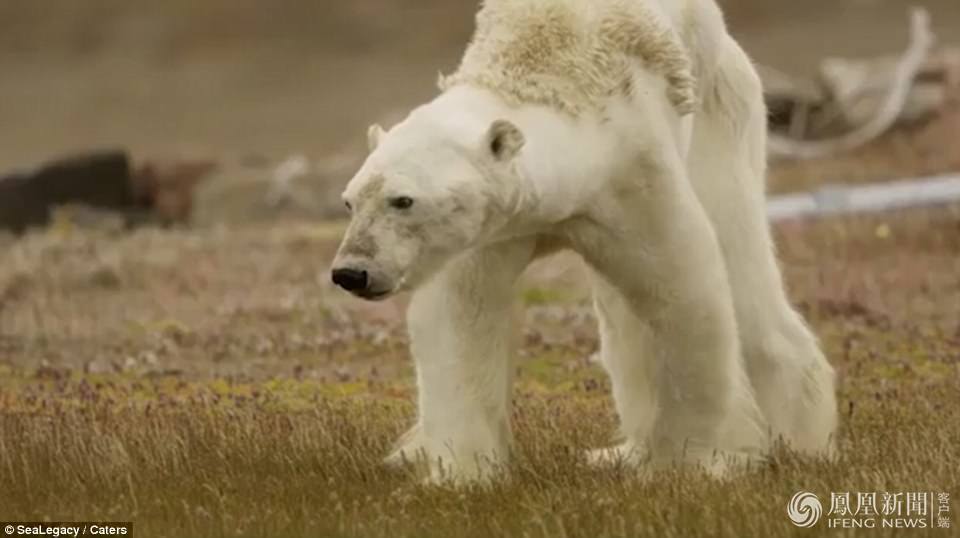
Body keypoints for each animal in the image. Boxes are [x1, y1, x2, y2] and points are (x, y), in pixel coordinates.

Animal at [332, 0, 840, 482]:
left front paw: (686, 463)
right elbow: (461, 316)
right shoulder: (492, 227)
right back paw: (619, 452)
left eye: (403, 200)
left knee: (739, 258)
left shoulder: (634, 174)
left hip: (722, 114)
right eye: (349, 201)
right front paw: (461, 472)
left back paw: (802, 441)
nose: (351, 272)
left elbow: (684, 295)